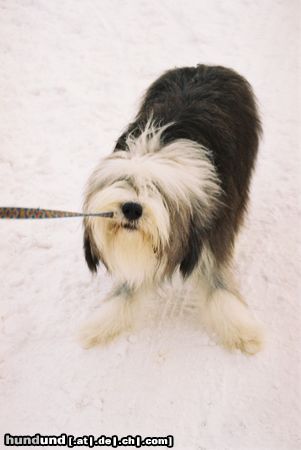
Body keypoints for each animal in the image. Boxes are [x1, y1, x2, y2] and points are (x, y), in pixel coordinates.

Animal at [79, 65, 262, 354]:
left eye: (157, 191)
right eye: (124, 181)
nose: (131, 209)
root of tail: (205, 66)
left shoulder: (211, 231)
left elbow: (218, 283)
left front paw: (242, 332)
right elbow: (127, 289)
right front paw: (100, 325)